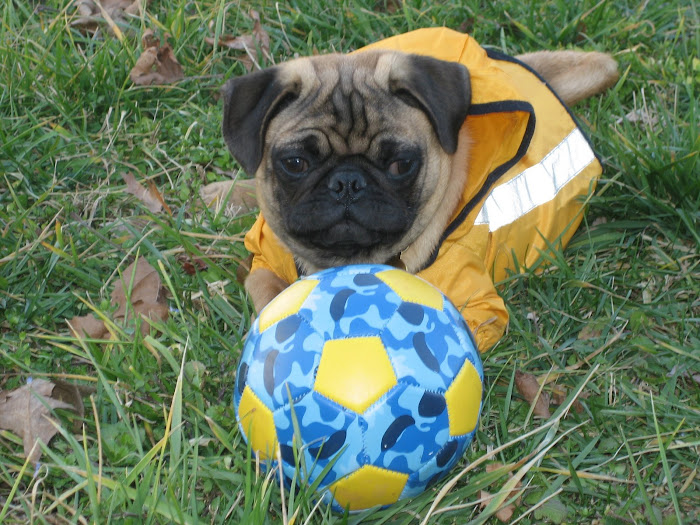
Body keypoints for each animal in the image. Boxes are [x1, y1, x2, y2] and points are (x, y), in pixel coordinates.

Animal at [220, 26, 616, 350]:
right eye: (295, 163)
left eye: (400, 164)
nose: (347, 182)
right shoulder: (264, 263)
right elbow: (271, 298)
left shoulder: (476, 311)